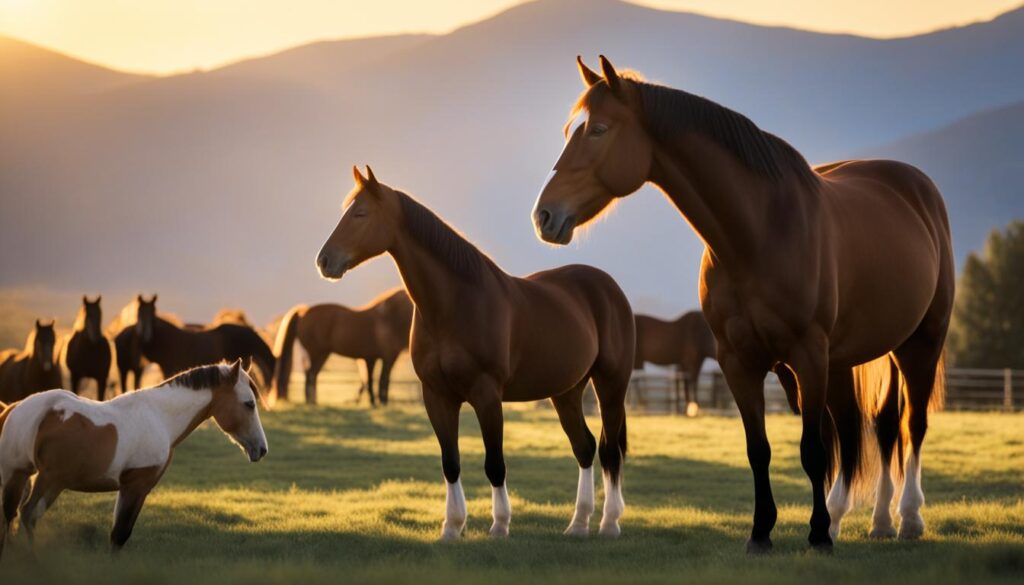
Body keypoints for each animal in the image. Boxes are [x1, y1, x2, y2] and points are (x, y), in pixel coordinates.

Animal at [0, 358, 268, 557]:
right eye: (249, 404)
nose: (262, 449)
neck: (160, 417)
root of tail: (14, 408)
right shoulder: (136, 485)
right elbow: (120, 534)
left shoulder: (131, 488)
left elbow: (118, 535)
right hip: (50, 481)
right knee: (28, 514)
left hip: (19, 474)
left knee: (10, 515)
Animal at [276, 288, 415, 407]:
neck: (388, 320)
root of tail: (303, 311)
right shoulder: (388, 358)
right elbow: (383, 380)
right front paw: (383, 402)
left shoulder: (370, 358)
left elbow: (369, 380)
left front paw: (373, 402)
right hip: (318, 354)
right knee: (310, 374)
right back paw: (311, 402)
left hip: (321, 355)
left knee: (312, 374)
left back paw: (313, 401)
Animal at [313, 168, 630, 540]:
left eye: (361, 214)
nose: (324, 261)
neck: (456, 304)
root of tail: (607, 286)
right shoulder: (437, 396)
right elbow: (450, 463)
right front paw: (452, 527)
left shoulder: (486, 394)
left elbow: (495, 463)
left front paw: (500, 525)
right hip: (566, 391)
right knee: (585, 447)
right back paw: (578, 523)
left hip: (611, 384)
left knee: (609, 451)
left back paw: (609, 523)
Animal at [532, 57, 954, 553]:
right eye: (568, 130)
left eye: (597, 129)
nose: (543, 215)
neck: (758, 233)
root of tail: (915, 186)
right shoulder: (739, 361)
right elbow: (761, 450)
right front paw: (762, 532)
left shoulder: (808, 355)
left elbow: (813, 449)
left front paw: (816, 536)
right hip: (854, 357)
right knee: (873, 429)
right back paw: (871, 518)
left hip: (918, 343)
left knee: (911, 426)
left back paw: (905, 517)